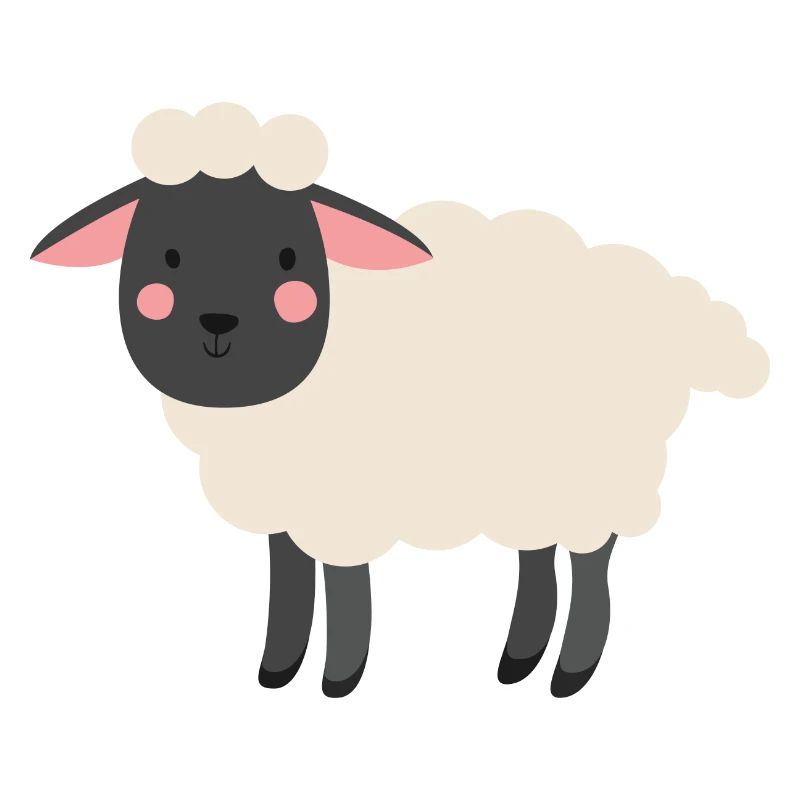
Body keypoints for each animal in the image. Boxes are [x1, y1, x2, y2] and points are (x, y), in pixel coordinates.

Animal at [31, 103, 769, 698]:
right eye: (169, 257)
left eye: (289, 258)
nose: (217, 323)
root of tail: (671, 306)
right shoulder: (288, 502)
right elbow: (288, 581)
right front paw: (276, 671)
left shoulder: (345, 502)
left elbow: (344, 590)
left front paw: (338, 680)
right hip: (530, 478)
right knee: (539, 560)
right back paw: (516, 662)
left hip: (598, 475)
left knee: (590, 569)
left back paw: (568, 674)